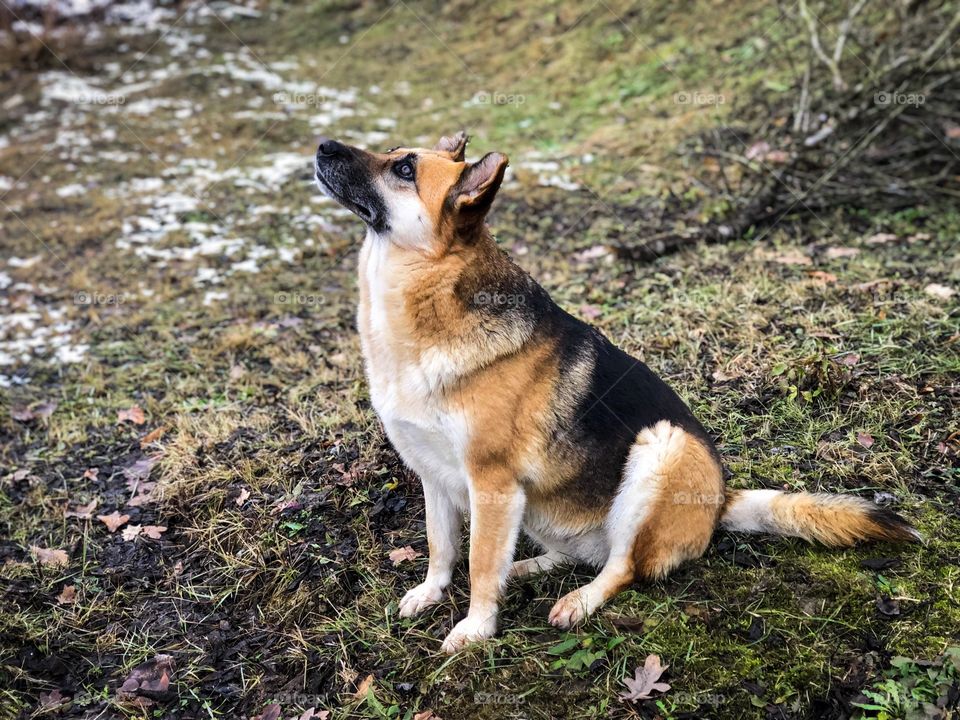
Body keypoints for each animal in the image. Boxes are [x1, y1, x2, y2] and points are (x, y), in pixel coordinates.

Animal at [312, 132, 920, 656]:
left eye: (404, 169)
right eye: (394, 154)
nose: (322, 146)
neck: (427, 294)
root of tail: (720, 501)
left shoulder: (491, 483)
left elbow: (481, 566)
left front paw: (477, 628)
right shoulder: (435, 477)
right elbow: (443, 548)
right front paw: (432, 592)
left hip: (661, 449)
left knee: (621, 567)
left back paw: (580, 601)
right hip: (543, 507)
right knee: (573, 554)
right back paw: (530, 568)